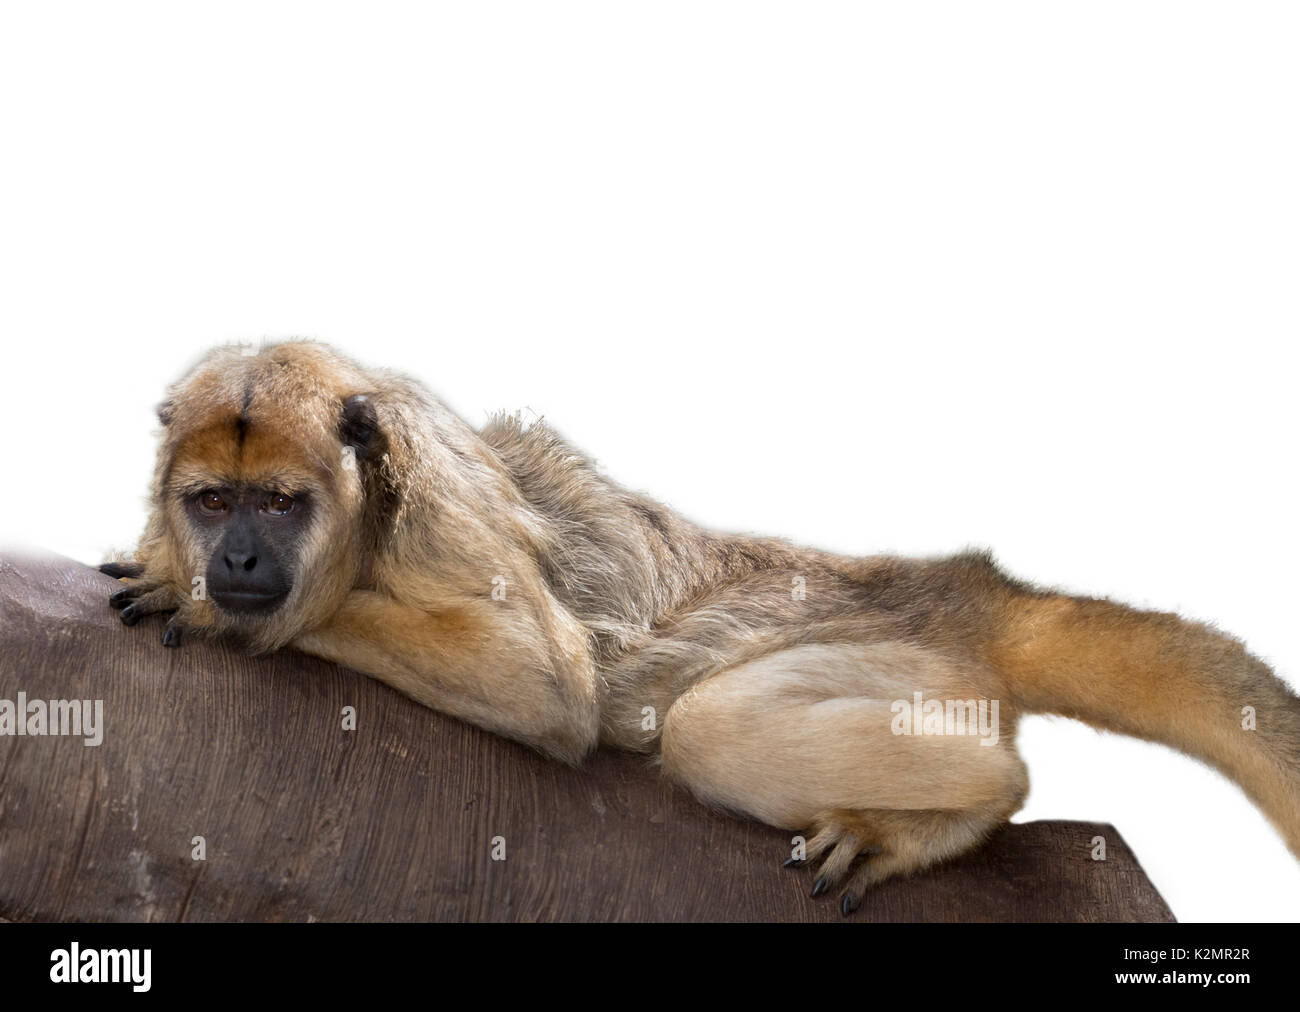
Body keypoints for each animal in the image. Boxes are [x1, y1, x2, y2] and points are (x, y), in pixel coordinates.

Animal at [101, 340, 1300, 916]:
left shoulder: (442, 504)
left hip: (899, 659)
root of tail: (947, 589)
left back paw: (958, 805)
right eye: (212, 501)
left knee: (711, 730)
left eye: (277, 504)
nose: (234, 562)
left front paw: (203, 605)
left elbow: (542, 682)